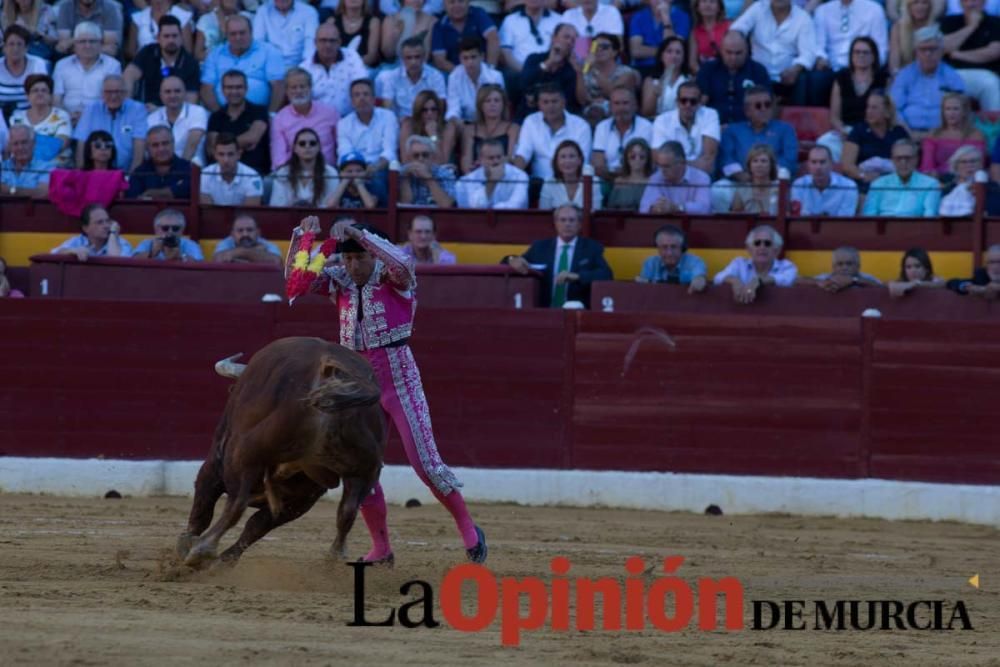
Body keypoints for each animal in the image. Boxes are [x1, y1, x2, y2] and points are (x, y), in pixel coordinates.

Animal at [177, 336, 386, 568]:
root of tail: (326, 371)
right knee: (348, 511)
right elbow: (256, 526)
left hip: (246, 452)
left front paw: (185, 548)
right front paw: (224, 561)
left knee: (236, 503)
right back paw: (333, 558)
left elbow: (203, 506)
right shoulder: (299, 498)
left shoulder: (214, 463)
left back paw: (201, 549)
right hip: (365, 471)